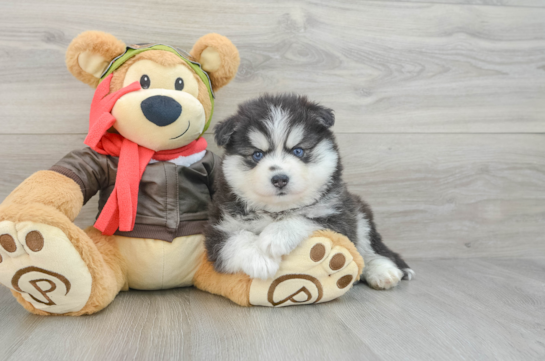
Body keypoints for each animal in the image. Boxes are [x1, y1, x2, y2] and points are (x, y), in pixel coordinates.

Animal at [203, 94, 412, 288]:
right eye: (257, 155)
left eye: (298, 151)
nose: (280, 179)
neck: (277, 211)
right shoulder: (218, 227)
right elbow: (237, 239)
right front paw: (259, 258)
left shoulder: (339, 218)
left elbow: (304, 218)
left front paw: (275, 237)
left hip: (360, 215)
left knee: (370, 250)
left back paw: (383, 272)